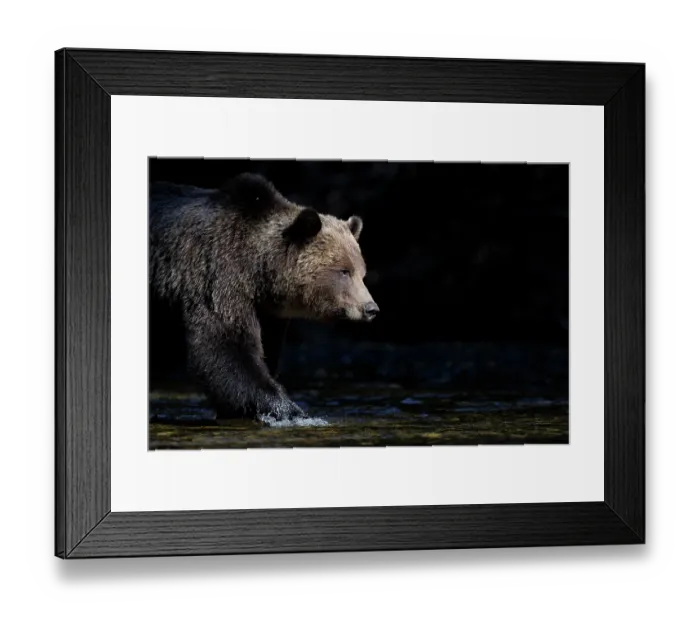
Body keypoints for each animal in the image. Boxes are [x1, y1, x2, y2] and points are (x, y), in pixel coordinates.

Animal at [149, 173, 379, 424]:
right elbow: (225, 347)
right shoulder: (217, 278)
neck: (258, 273)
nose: (370, 308)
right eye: (344, 271)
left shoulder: (267, 313)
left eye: (362, 273)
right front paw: (290, 411)